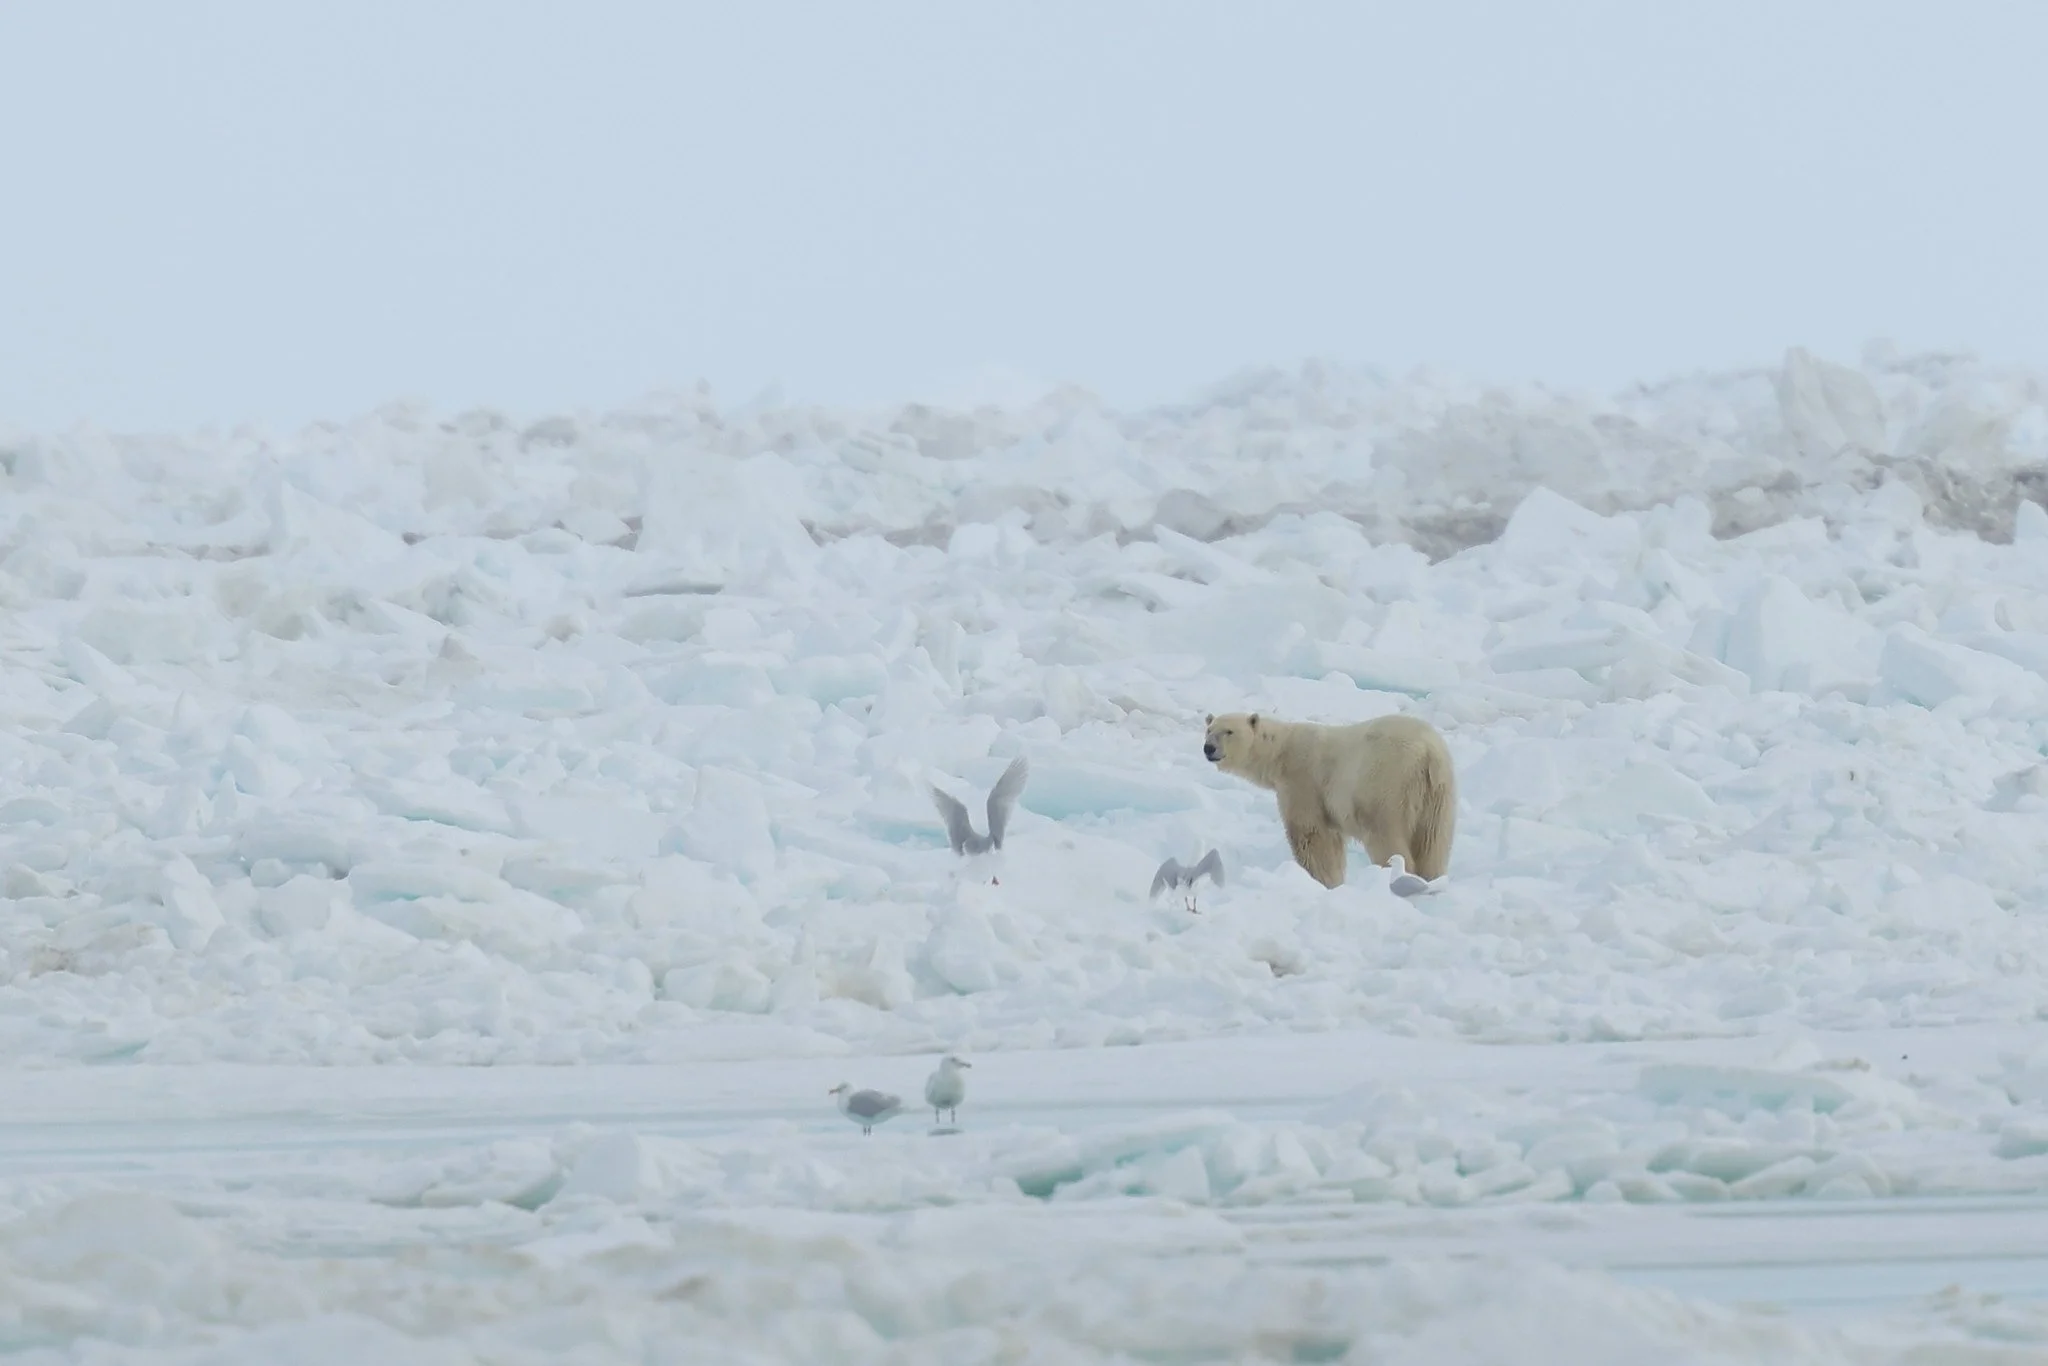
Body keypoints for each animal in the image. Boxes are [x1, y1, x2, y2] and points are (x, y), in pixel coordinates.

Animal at [1203, 710, 1456, 889]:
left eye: (1228, 731)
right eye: (1209, 730)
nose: (1209, 748)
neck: (1281, 752)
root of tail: (1428, 753)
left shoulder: (1302, 782)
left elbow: (1310, 835)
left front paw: (1324, 881)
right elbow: (1332, 839)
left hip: (1385, 786)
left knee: (1386, 837)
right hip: (1439, 795)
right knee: (1433, 842)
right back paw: (1431, 878)